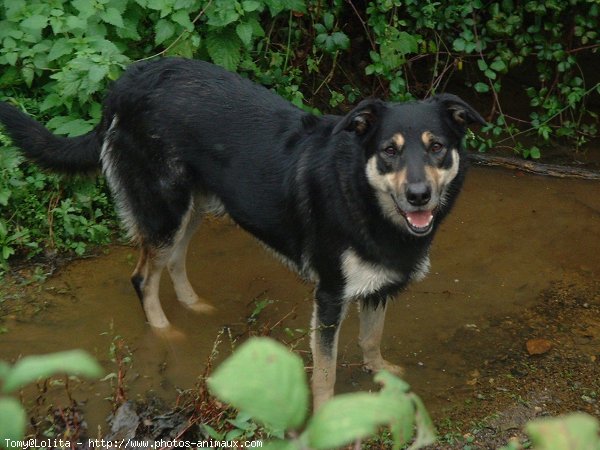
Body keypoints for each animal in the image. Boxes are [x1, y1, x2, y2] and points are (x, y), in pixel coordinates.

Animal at [0, 56, 486, 408]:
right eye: (389, 151)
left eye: (437, 147)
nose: (419, 196)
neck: (364, 196)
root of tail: (127, 83)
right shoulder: (330, 295)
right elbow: (326, 369)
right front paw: (326, 413)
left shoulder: (378, 287)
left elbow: (371, 338)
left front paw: (381, 373)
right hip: (163, 212)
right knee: (142, 277)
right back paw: (165, 331)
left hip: (194, 208)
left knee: (174, 260)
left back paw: (194, 305)